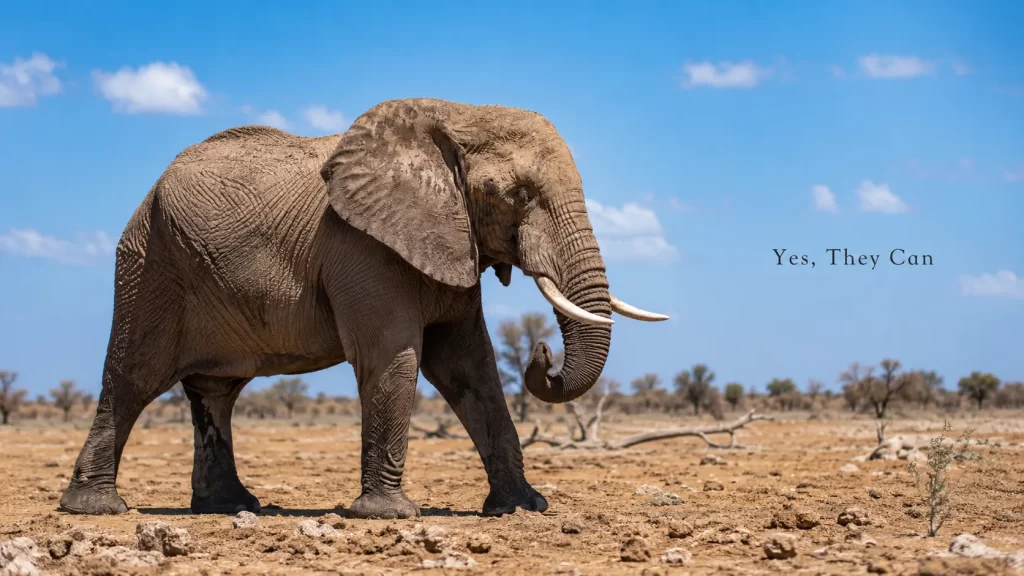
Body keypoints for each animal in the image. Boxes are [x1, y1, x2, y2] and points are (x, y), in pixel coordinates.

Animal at [58, 97, 667, 519]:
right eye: (516, 194)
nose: (542, 352)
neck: (454, 115)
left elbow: (470, 368)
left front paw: (522, 508)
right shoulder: (364, 247)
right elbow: (394, 357)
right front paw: (389, 516)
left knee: (216, 393)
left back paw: (233, 507)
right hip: (150, 263)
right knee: (133, 377)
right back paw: (97, 509)